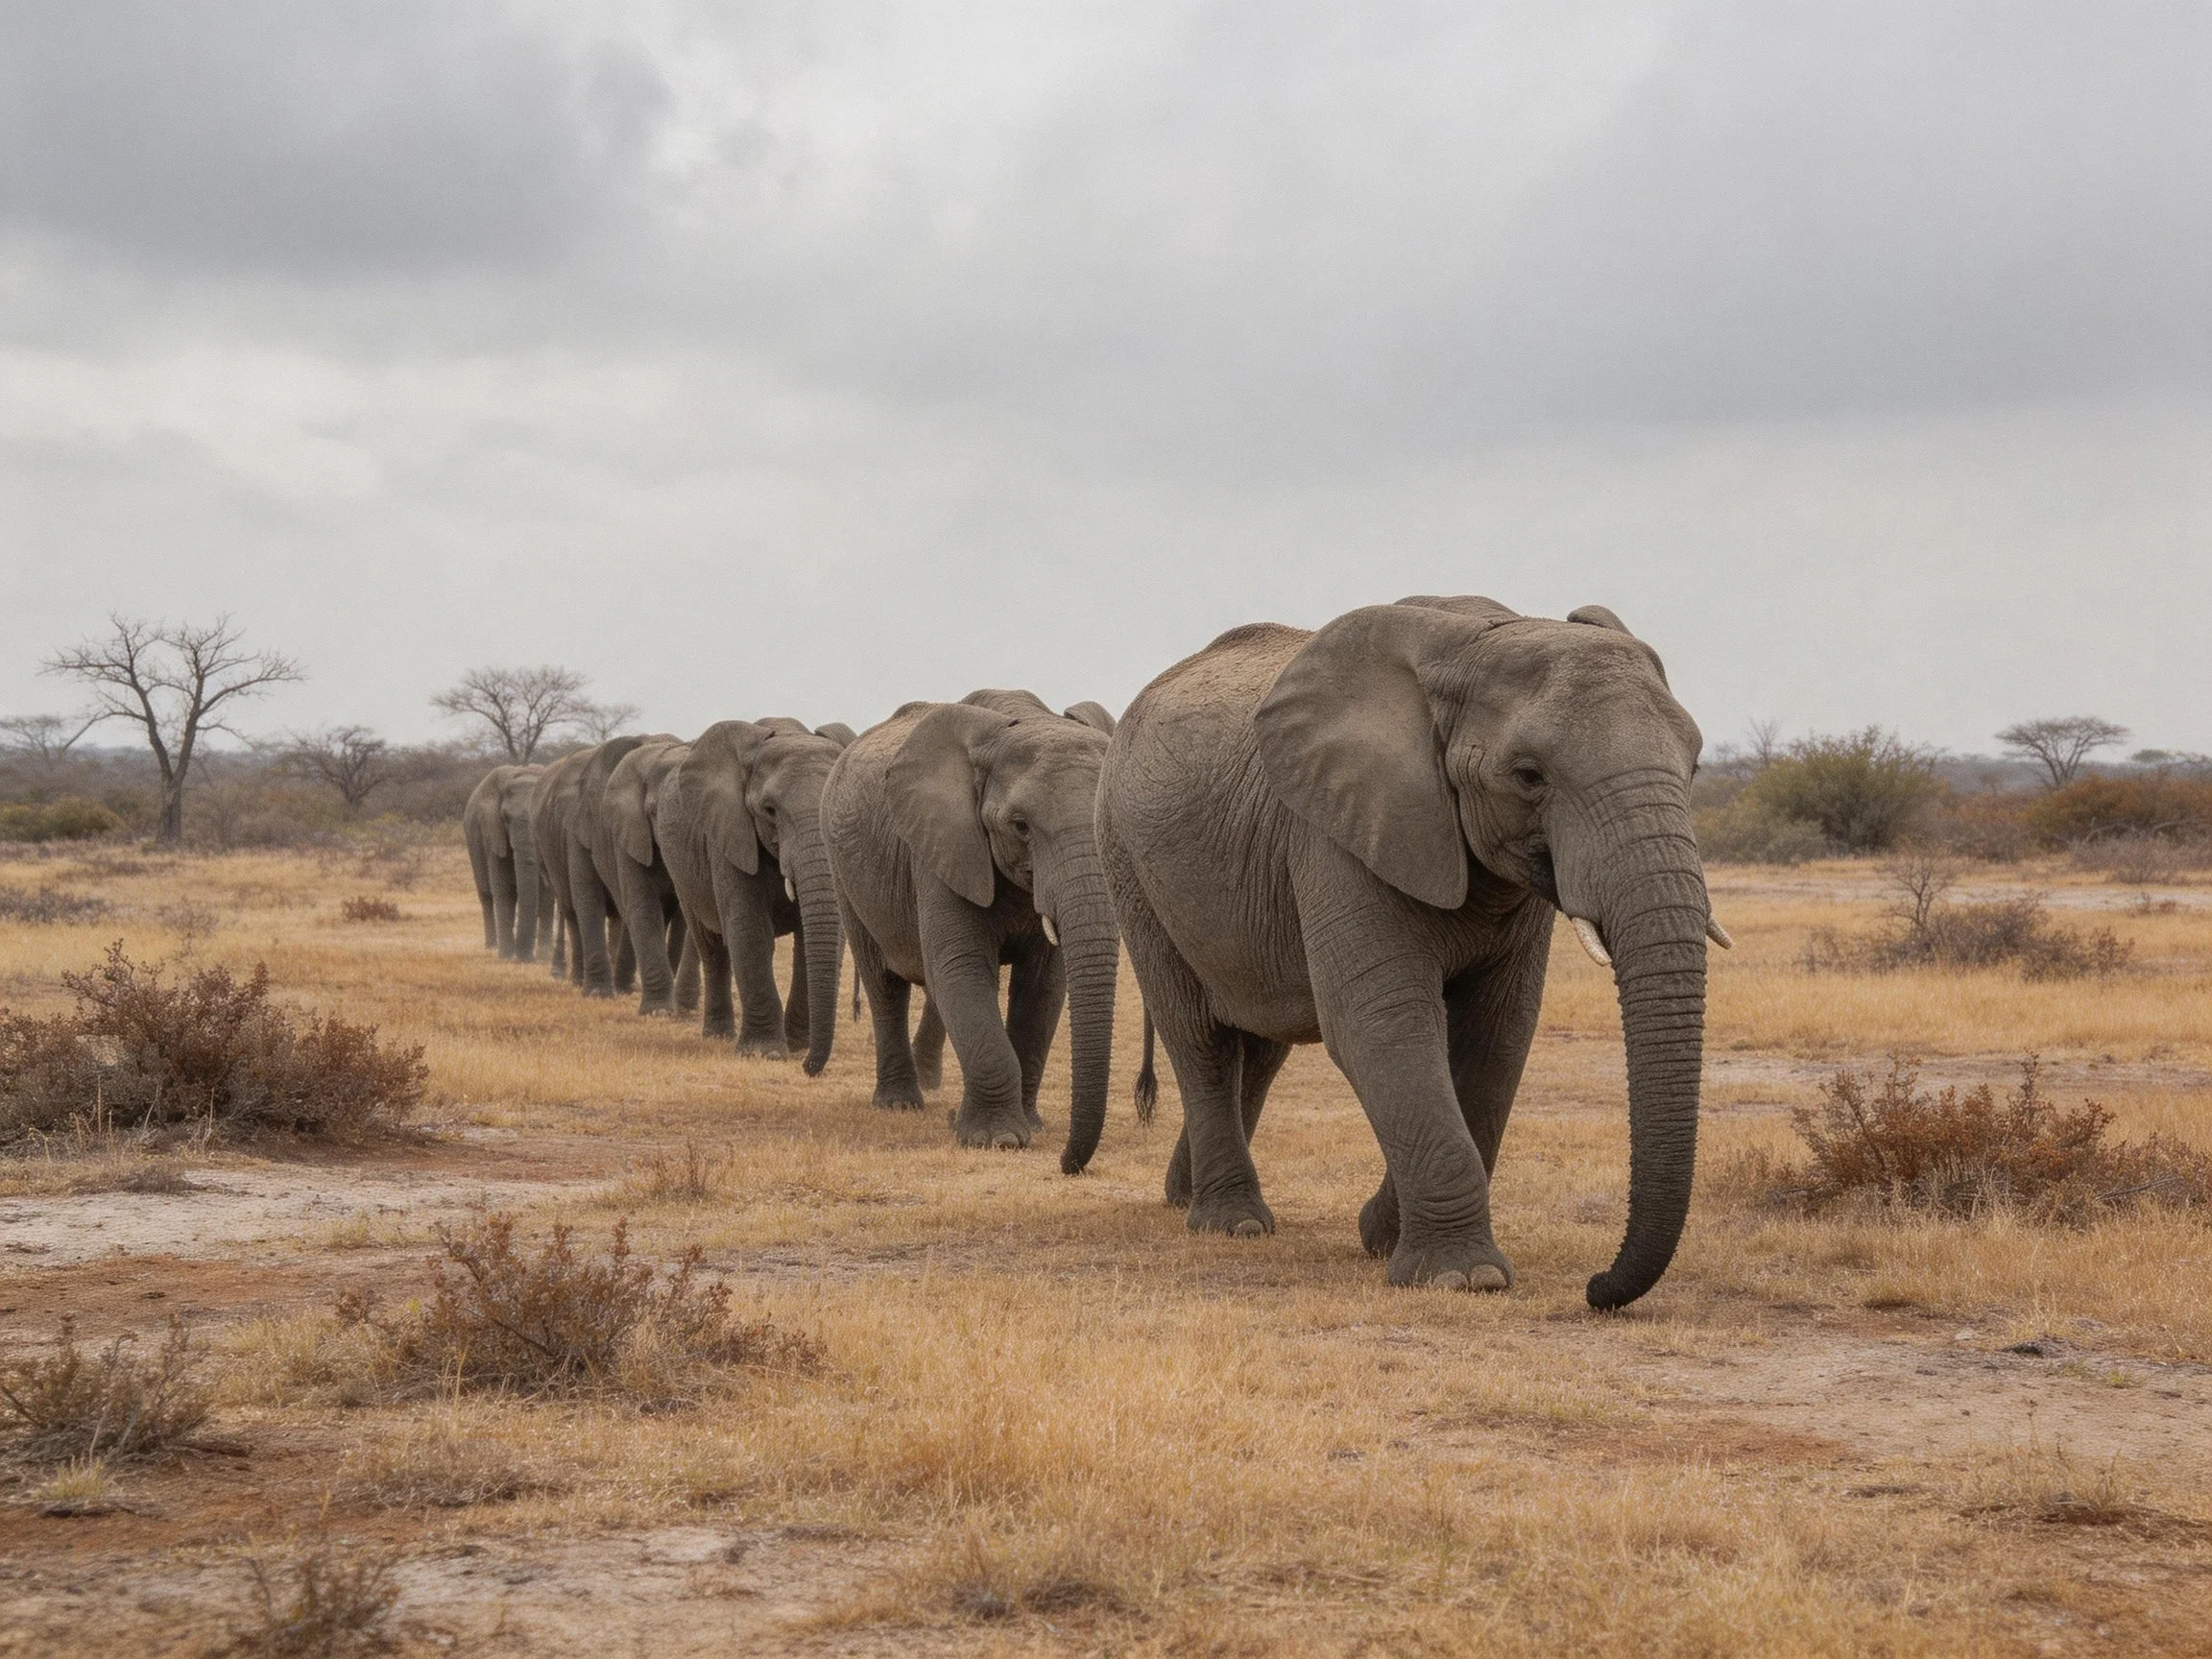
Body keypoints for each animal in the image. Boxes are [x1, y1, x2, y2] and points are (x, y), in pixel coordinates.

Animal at [463, 764, 555, 963]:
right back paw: (492, 947)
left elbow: (546, 892)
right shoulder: (492, 832)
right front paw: (506, 957)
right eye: (505, 818)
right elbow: (502, 888)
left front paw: (544, 957)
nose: (526, 959)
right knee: (486, 897)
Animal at [654, 718, 852, 1070]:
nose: (807, 1068)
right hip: (682, 872)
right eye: (769, 810)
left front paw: (798, 1045)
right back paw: (718, 1035)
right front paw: (765, 1053)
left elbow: (815, 939)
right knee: (712, 947)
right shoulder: (729, 837)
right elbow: (749, 930)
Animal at [823, 690, 1121, 1169]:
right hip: (844, 872)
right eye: (1020, 825)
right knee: (884, 984)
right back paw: (899, 1104)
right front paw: (998, 1140)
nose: (1066, 1164)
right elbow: (962, 968)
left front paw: (1031, 1126)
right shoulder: (941, 846)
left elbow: (1042, 986)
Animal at [1096, 597, 1726, 1310]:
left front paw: (1381, 1237)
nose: (1595, 1288)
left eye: (1695, 766)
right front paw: (1463, 1277)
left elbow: (1497, 1035)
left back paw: (1185, 1198)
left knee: (1258, 1047)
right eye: (1528, 776)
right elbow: (1382, 1024)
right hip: (1126, 858)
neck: (1477, 643)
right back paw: (1233, 1225)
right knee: (1199, 1038)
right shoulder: (1336, 834)